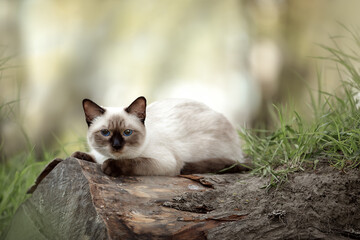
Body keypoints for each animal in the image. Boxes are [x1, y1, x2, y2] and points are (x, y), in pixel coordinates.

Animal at [71, 96, 249, 176]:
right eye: (105, 133)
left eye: (127, 132)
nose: (116, 146)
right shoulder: (97, 154)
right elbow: (88, 156)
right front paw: (77, 156)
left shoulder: (165, 162)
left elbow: (135, 162)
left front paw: (109, 166)